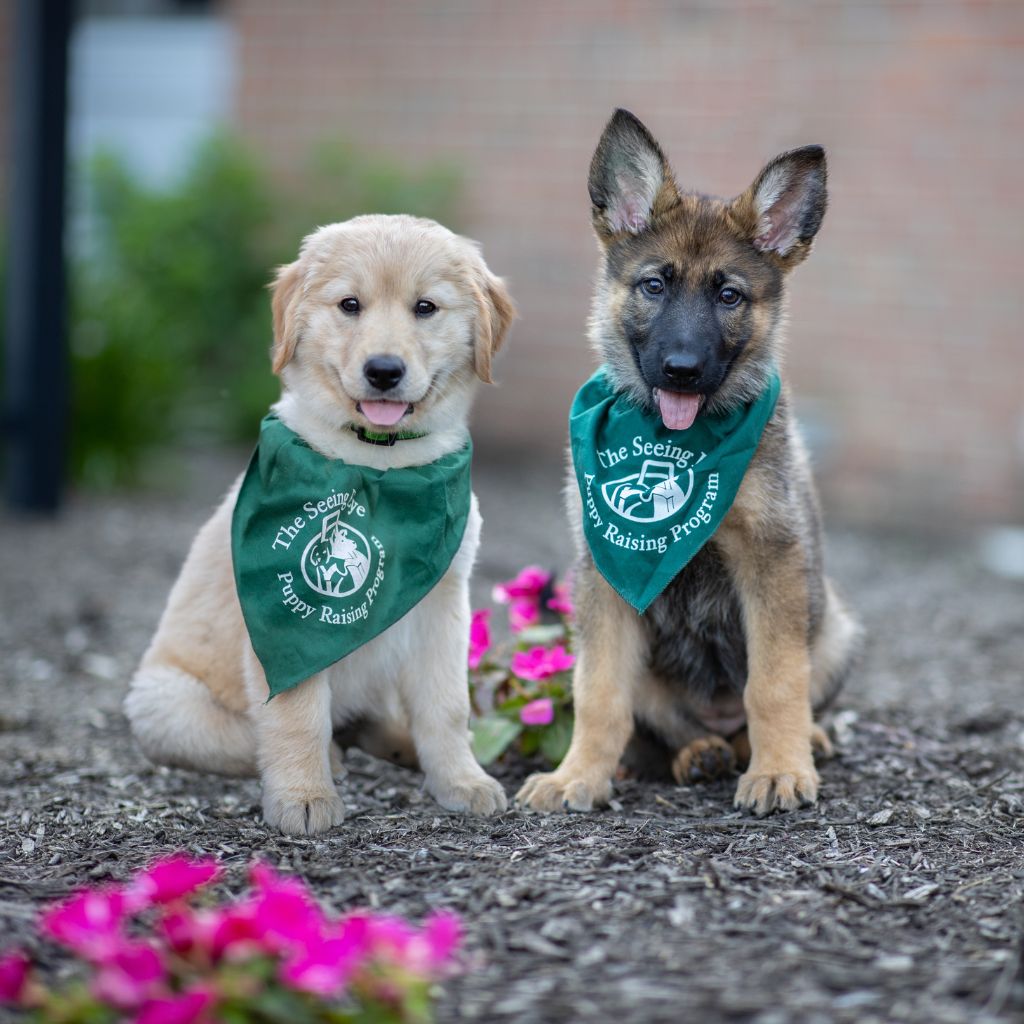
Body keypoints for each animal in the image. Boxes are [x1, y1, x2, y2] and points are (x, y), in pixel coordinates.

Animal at [124, 214, 516, 831]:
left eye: (425, 307)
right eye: (349, 304)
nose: (384, 371)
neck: (378, 466)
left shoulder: (443, 605)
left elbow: (448, 706)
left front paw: (461, 780)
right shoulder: (283, 624)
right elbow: (298, 712)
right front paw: (304, 797)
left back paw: (398, 744)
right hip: (160, 699)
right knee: (252, 736)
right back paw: (331, 756)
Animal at [516, 112, 860, 815]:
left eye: (728, 296)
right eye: (654, 286)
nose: (681, 369)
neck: (678, 442)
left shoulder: (772, 561)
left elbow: (775, 682)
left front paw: (780, 769)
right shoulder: (602, 578)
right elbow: (598, 694)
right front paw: (576, 776)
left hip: (834, 627)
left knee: (782, 702)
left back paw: (791, 742)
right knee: (662, 725)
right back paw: (687, 755)